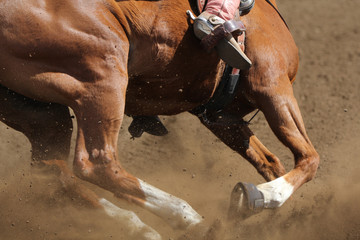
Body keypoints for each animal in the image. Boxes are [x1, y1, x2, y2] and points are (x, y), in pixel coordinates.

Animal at [0, 0, 320, 239]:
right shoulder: (272, 85)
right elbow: (308, 159)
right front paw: (257, 197)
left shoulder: (223, 119)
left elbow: (270, 162)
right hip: (103, 72)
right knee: (96, 163)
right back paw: (187, 217)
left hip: (44, 116)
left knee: (53, 177)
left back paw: (141, 228)